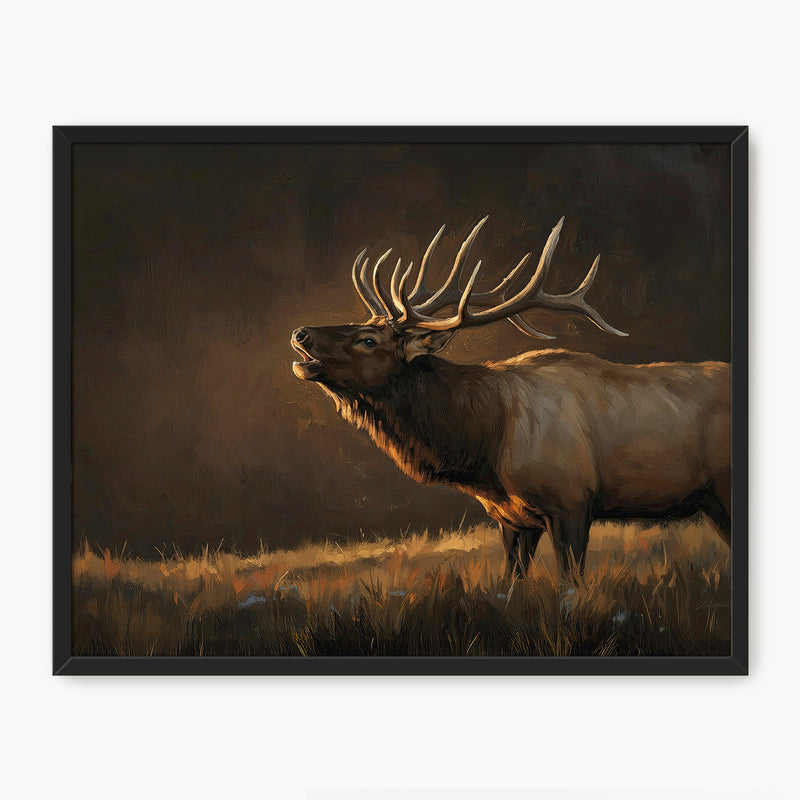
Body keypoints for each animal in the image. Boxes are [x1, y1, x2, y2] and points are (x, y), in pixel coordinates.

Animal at [290, 216, 731, 579]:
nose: (300, 333)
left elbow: (570, 585)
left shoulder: (571, 501)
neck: (487, 447)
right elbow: (511, 585)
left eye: (369, 340)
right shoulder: (513, 518)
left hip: (725, 488)